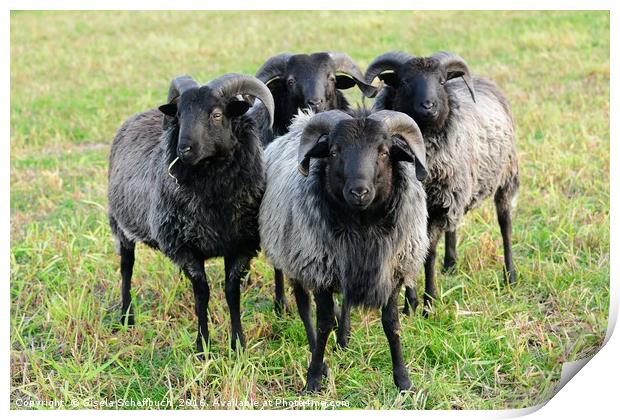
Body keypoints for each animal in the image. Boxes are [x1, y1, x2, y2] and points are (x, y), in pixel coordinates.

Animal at [108, 73, 274, 354]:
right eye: (180, 114)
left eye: (217, 114)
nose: (184, 149)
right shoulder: (184, 247)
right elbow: (202, 294)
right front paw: (202, 346)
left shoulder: (240, 244)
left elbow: (232, 292)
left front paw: (237, 344)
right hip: (121, 225)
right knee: (126, 269)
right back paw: (126, 318)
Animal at [260, 108, 428, 390]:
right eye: (334, 151)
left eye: (384, 152)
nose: (359, 191)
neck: (362, 227)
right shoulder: (319, 270)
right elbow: (323, 322)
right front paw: (314, 376)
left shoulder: (393, 269)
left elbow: (391, 324)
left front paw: (403, 380)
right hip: (295, 259)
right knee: (304, 307)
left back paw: (344, 339)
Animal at [366, 50, 520, 316]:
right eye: (405, 81)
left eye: (440, 81)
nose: (429, 106)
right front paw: (410, 305)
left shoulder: (439, 207)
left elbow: (428, 254)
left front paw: (428, 303)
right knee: (454, 226)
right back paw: (451, 264)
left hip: (505, 177)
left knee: (505, 224)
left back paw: (509, 276)